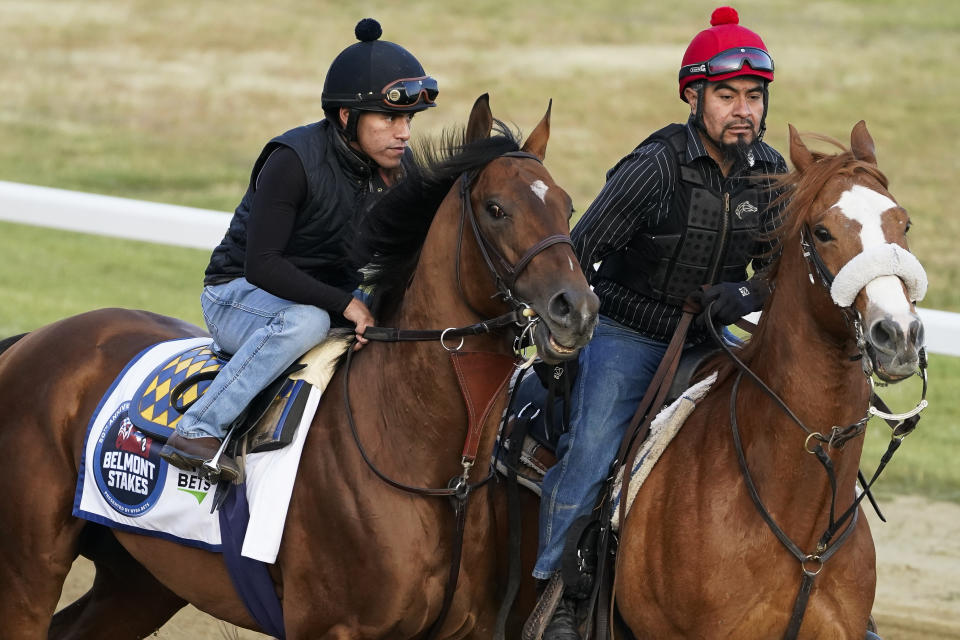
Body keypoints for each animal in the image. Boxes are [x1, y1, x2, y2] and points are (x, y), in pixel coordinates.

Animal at [0, 92, 596, 636]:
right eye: (496, 209)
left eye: (566, 206)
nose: (578, 308)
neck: (437, 473)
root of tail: (34, 339)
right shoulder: (328, 625)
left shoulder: (463, 628)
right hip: (29, 569)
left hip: (141, 578)